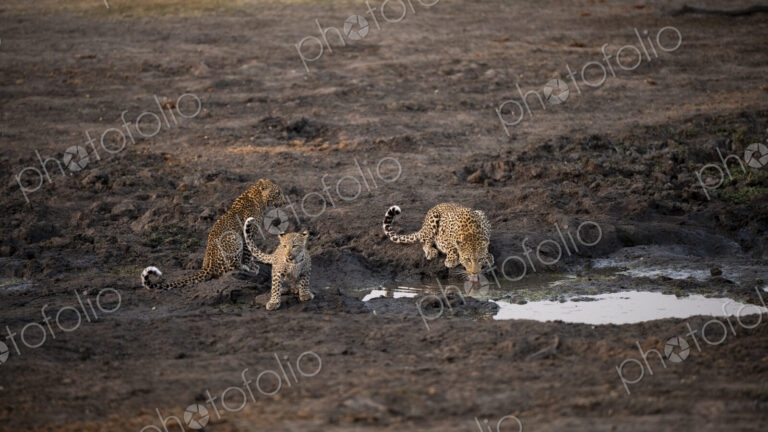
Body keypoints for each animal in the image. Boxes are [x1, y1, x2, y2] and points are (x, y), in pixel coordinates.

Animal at [141, 179, 286, 289]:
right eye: (278, 193)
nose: (284, 202)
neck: (258, 198)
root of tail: (207, 267)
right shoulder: (248, 232)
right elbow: (247, 252)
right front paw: (251, 265)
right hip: (233, 238)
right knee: (229, 267)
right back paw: (244, 267)